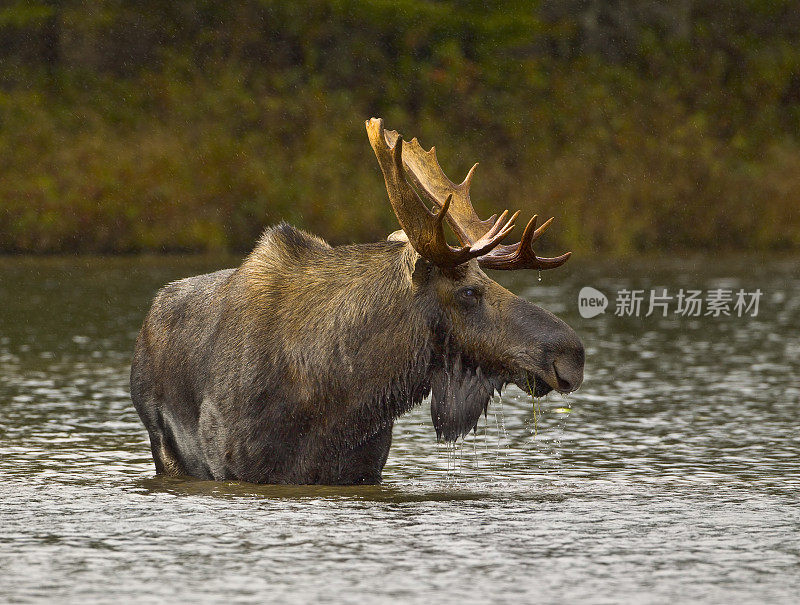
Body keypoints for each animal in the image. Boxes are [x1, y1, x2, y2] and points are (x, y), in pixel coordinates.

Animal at [130, 119, 580, 486]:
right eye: (469, 291)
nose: (572, 354)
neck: (345, 396)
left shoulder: (363, 469)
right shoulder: (236, 467)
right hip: (163, 447)